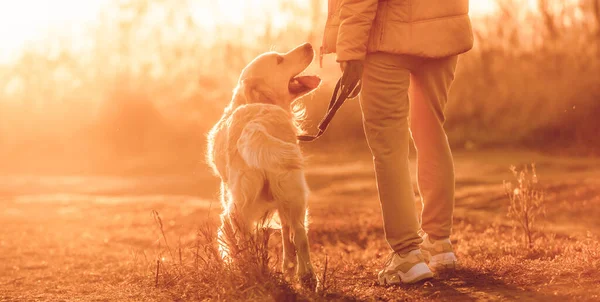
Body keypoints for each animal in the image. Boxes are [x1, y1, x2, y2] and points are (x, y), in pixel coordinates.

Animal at [205, 42, 322, 288]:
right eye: (279, 60)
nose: (308, 45)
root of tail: (257, 123)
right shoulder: (283, 200)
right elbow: (287, 233)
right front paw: (289, 267)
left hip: (239, 205)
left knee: (243, 237)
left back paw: (253, 272)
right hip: (293, 190)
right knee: (300, 233)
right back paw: (307, 277)